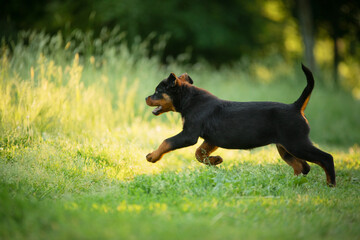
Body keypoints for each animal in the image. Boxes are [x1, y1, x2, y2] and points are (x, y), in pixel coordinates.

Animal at [145, 64, 336, 187]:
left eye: (157, 91)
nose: (146, 98)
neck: (188, 99)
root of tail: (296, 106)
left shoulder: (189, 134)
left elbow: (167, 141)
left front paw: (152, 156)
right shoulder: (210, 139)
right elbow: (199, 154)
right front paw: (216, 160)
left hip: (297, 143)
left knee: (325, 158)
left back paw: (331, 184)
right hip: (285, 147)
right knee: (303, 166)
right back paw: (293, 183)